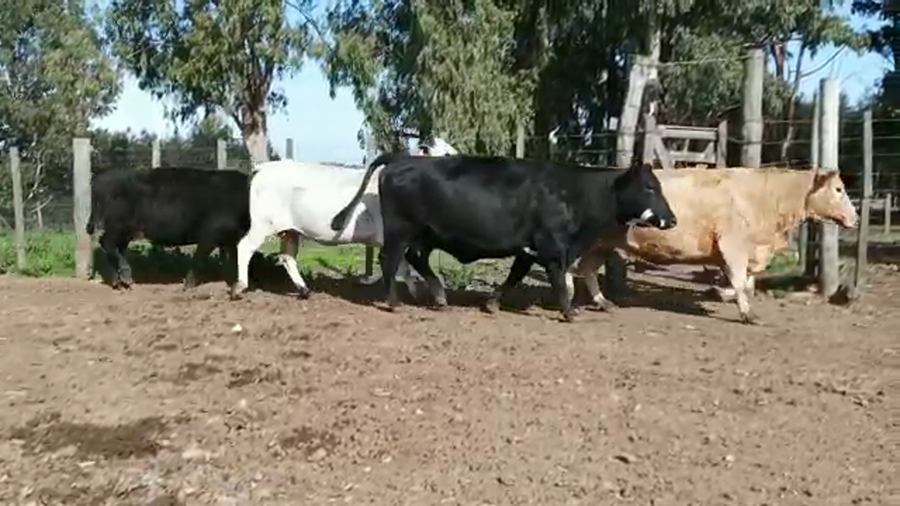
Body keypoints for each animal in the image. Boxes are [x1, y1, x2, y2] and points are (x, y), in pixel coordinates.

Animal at [87, 167, 251, 290]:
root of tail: (100, 179)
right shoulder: (210, 235)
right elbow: (200, 258)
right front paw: (188, 285)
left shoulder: (230, 239)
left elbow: (233, 261)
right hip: (117, 226)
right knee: (106, 242)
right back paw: (126, 277)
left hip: (125, 232)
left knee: (115, 249)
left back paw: (119, 283)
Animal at [229, 139, 458, 300]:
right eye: (446, 154)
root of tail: (263, 168)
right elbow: (404, 266)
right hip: (263, 224)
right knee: (245, 246)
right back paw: (239, 287)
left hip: (291, 230)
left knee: (287, 257)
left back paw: (304, 290)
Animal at [330, 157, 678, 322]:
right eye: (650, 187)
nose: (672, 220)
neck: (574, 193)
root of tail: (401, 158)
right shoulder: (552, 247)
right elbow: (557, 279)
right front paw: (569, 312)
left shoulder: (528, 249)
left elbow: (514, 276)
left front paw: (491, 303)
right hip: (401, 230)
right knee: (389, 260)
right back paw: (393, 302)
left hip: (424, 234)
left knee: (415, 259)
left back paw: (439, 296)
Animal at [567, 166, 858, 324]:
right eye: (838, 189)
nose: (854, 218)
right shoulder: (734, 245)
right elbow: (740, 282)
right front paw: (747, 313)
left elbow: (744, 284)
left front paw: (721, 294)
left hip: (602, 244)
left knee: (587, 269)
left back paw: (602, 301)